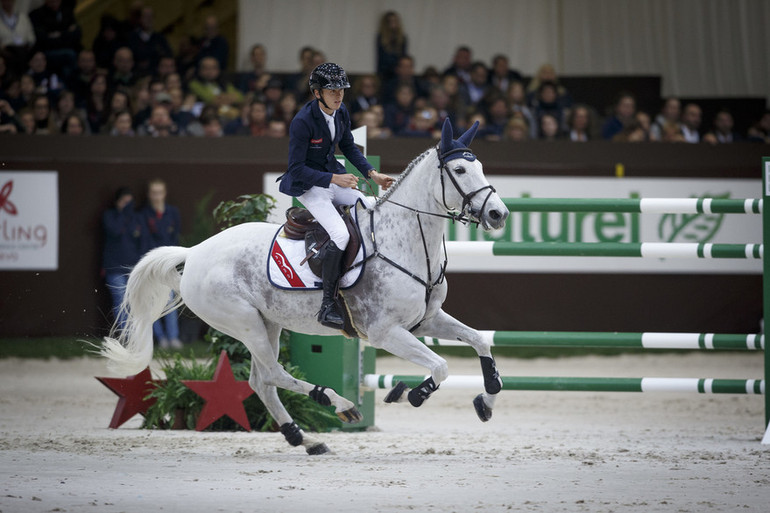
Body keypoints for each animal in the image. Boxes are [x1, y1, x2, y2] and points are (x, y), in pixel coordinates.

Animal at [102, 119, 510, 452]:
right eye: (459, 169)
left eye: (480, 166)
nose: (498, 214)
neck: (406, 241)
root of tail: (196, 251)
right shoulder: (385, 332)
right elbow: (440, 366)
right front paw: (412, 394)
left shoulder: (426, 320)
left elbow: (480, 341)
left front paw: (487, 402)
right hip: (244, 323)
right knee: (273, 374)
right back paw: (338, 404)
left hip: (268, 324)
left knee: (260, 381)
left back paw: (304, 438)